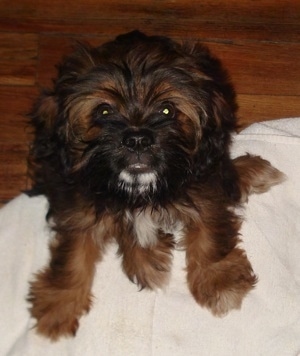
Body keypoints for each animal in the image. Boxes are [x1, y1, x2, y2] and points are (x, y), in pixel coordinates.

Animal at [27, 32, 284, 340]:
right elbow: (72, 254)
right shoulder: (76, 205)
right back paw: (145, 257)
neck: (139, 190)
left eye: (167, 109)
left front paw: (220, 281)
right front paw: (59, 304)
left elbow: (210, 234)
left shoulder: (203, 189)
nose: (137, 138)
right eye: (104, 111)